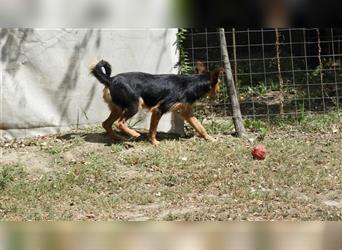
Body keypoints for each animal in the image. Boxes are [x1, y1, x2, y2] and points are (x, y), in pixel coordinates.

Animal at [91, 60, 224, 145]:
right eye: (219, 83)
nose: (219, 92)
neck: (191, 84)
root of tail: (110, 79)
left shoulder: (186, 112)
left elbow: (200, 127)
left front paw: (210, 139)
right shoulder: (159, 110)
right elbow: (153, 129)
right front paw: (154, 142)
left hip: (118, 109)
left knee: (106, 124)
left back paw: (118, 139)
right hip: (134, 105)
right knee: (119, 123)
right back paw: (134, 134)